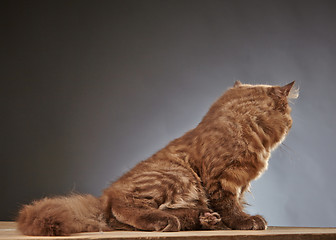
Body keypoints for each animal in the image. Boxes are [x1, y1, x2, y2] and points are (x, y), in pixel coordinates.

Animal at [16, 80, 300, 234]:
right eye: (287, 116)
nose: (291, 124)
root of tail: (102, 197)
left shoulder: (239, 183)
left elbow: (235, 203)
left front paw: (227, 221)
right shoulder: (222, 179)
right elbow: (230, 206)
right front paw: (245, 222)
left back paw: (206, 219)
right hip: (177, 174)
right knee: (125, 210)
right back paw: (171, 222)